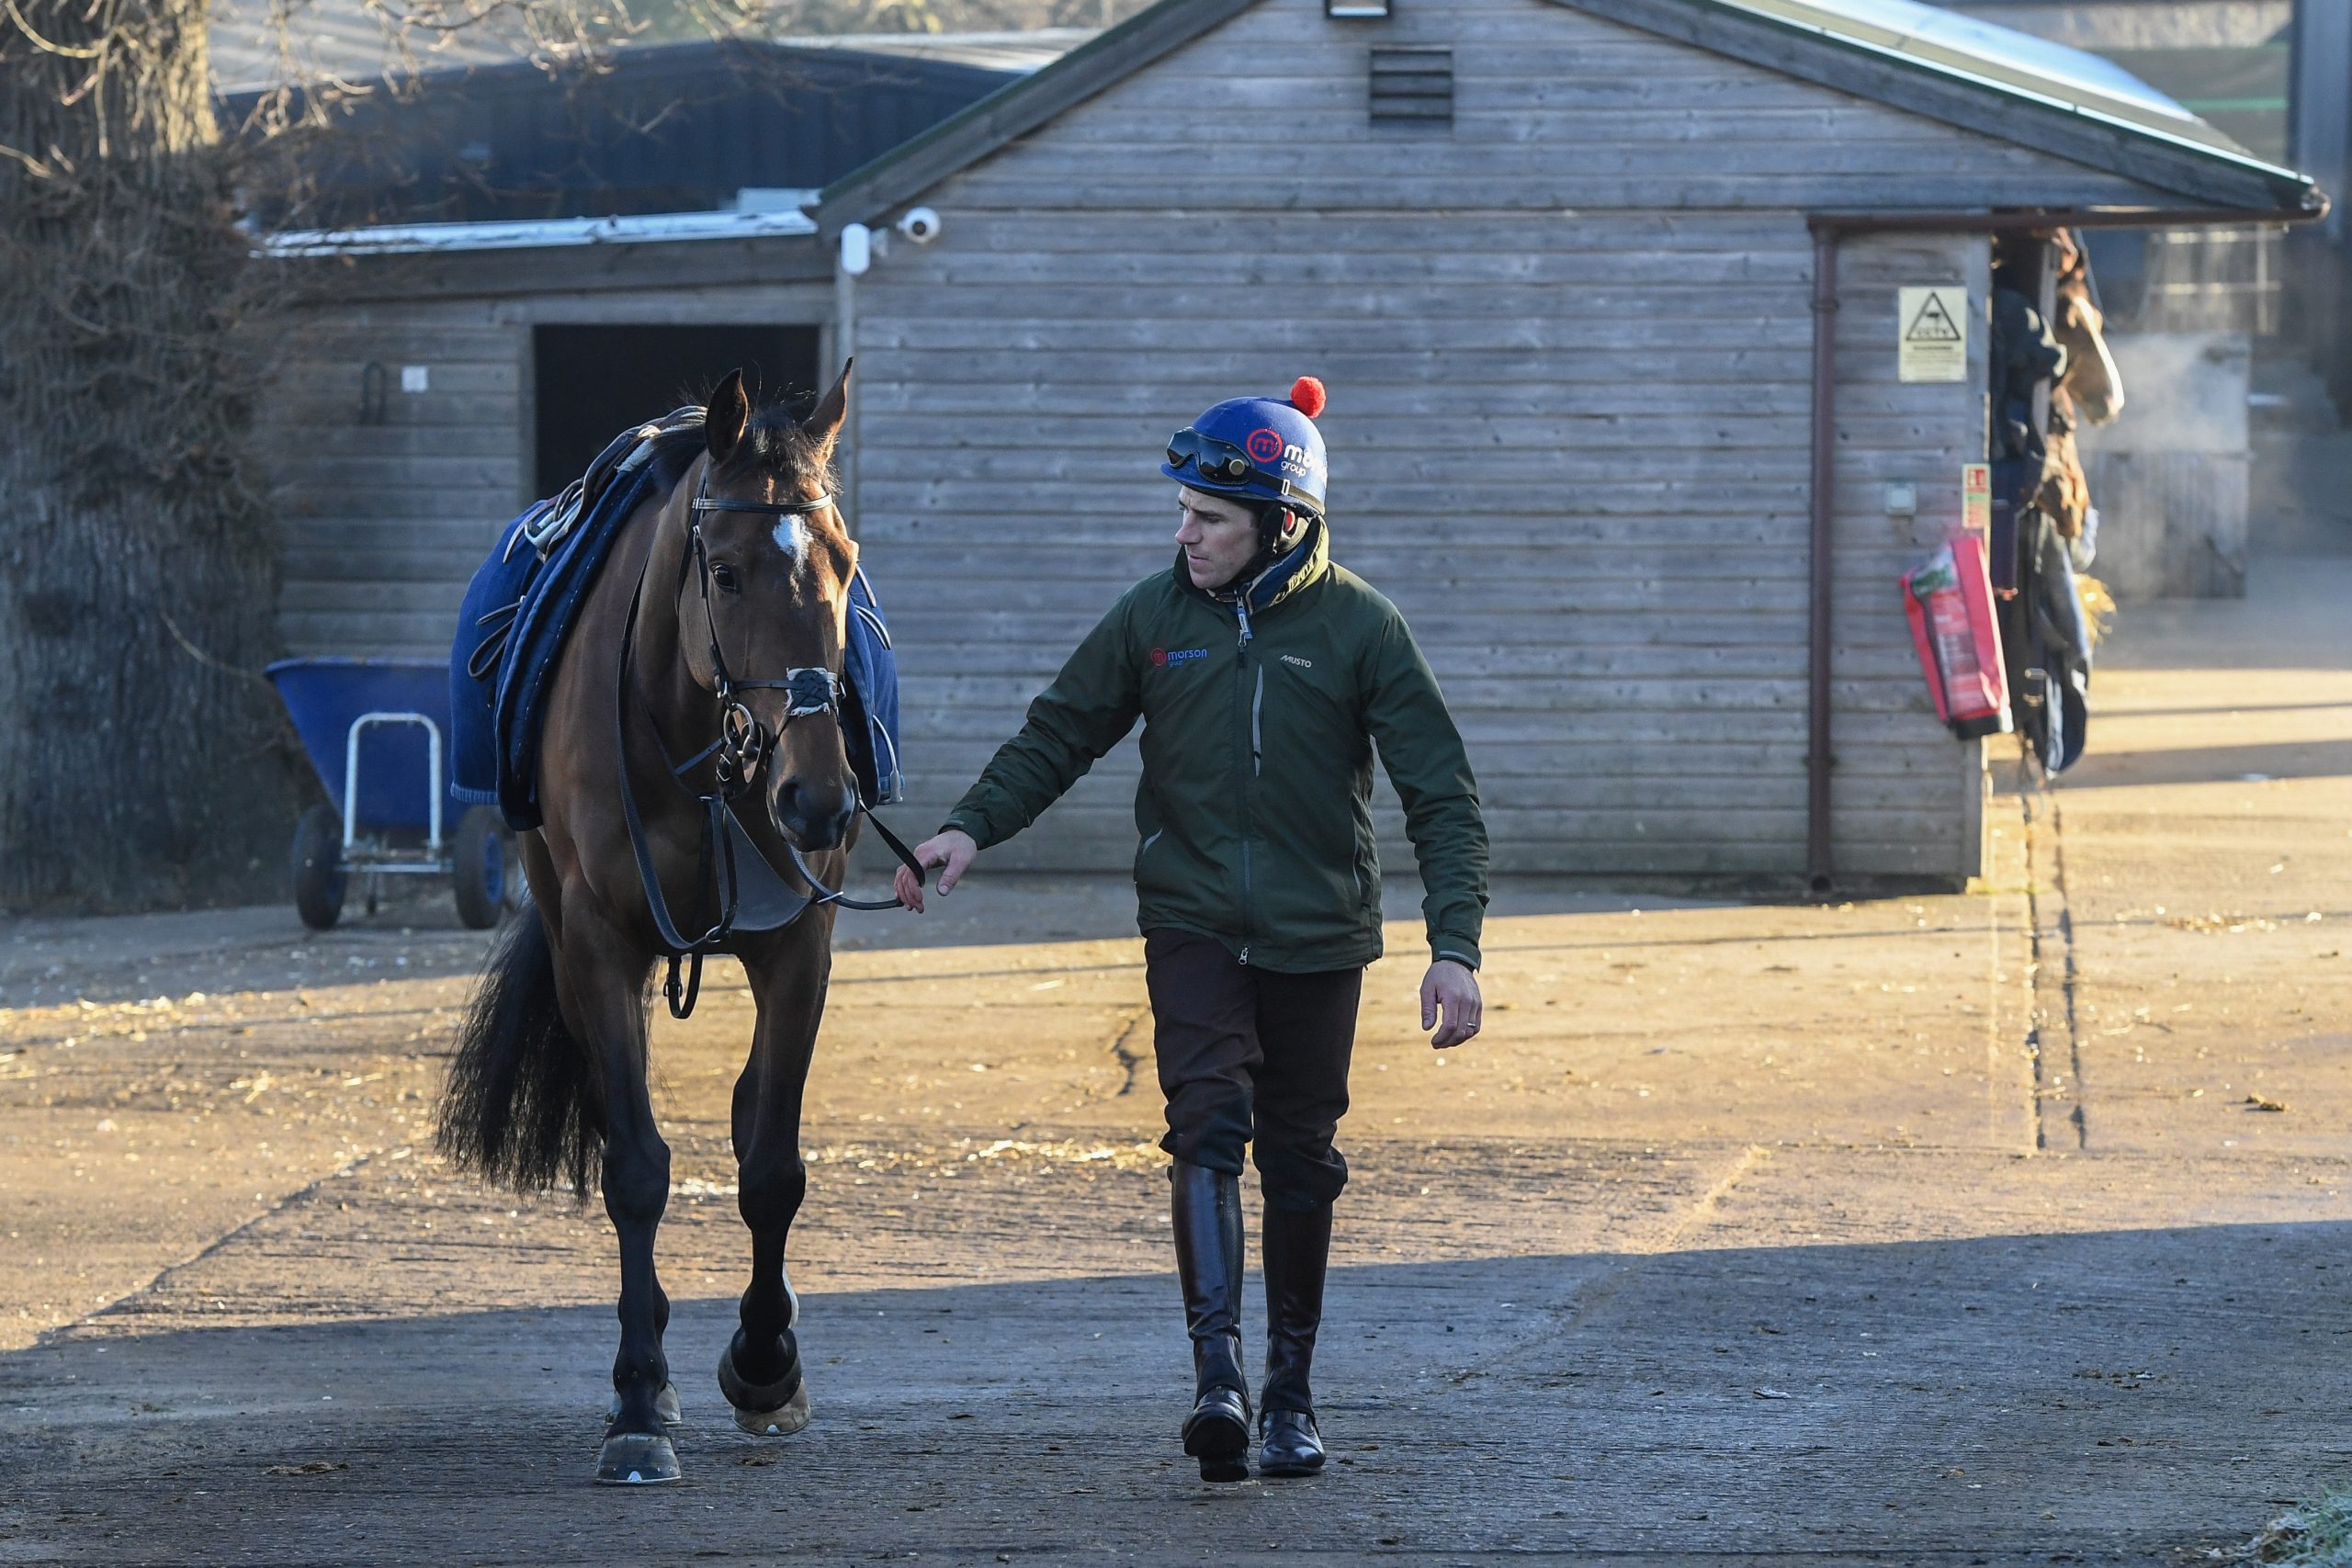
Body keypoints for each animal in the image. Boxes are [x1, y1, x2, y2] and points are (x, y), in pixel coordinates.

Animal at [433, 364, 865, 1485]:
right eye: (724, 572)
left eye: (846, 564)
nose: (816, 799)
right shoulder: (596, 944)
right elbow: (634, 1166)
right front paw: (637, 1398)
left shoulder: (800, 946)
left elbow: (771, 1164)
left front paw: (766, 1363)